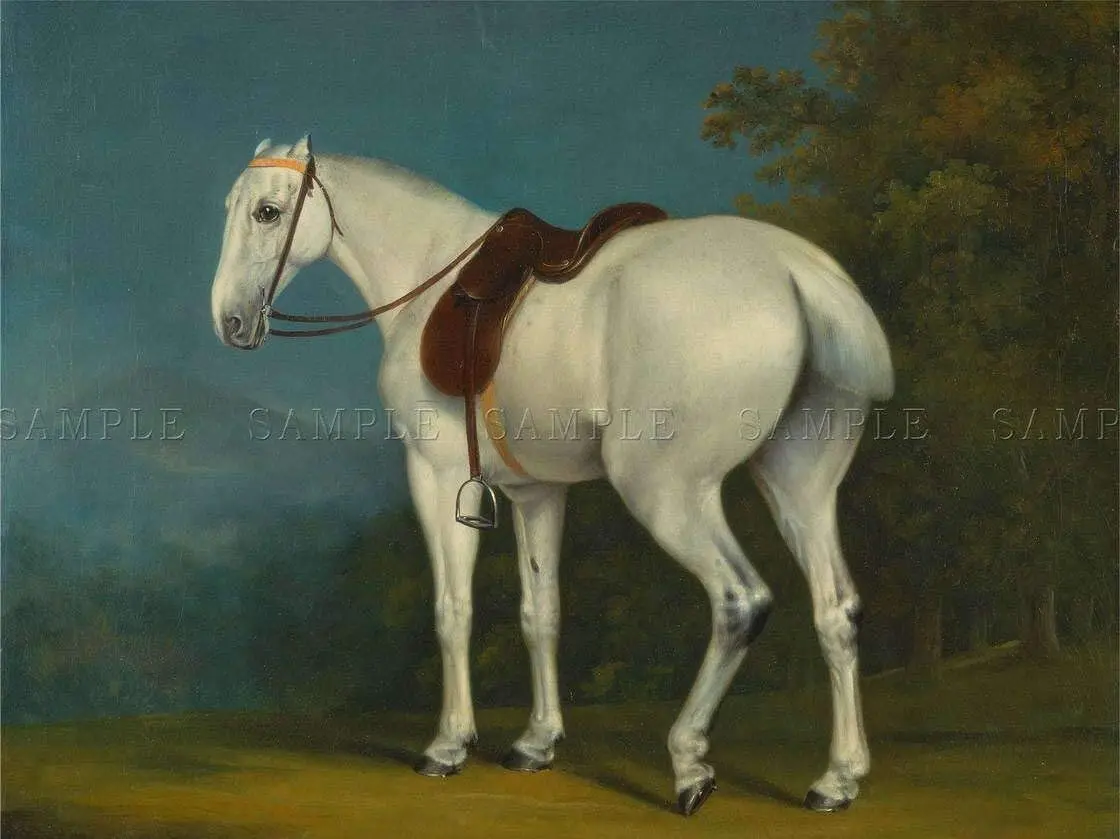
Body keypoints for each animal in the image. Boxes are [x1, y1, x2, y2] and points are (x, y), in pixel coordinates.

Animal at [209, 136, 893, 817]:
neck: (431, 276)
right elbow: (541, 613)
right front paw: (537, 742)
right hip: (799, 487)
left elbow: (453, 611)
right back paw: (839, 779)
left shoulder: (434, 475)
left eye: (267, 212)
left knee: (740, 601)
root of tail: (797, 273)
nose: (230, 322)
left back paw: (690, 763)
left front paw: (448, 745)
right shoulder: (538, 493)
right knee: (837, 611)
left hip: (669, 494)